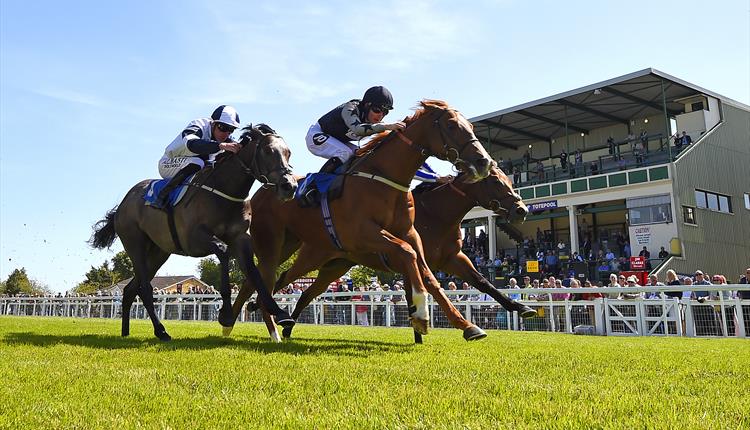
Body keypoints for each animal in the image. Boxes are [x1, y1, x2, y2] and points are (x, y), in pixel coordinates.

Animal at [89, 124, 296, 340]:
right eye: (268, 151)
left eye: (288, 152)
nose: (289, 186)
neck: (224, 190)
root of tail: (124, 203)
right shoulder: (194, 240)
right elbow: (223, 252)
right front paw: (225, 314)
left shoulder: (241, 238)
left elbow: (254, 273)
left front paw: (280, 313)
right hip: (134, 243)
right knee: (144, 288)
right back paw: (161, 330)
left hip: (158, 252)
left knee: (131, 289)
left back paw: (126, 332)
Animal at [229, 99, 500, 340]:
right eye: (452, 126)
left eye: (471, 126)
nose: (484, 162)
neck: (383, 178)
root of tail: (263, 190)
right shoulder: (363, 233)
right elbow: (407, 252)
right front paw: (421, 314)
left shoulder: (410, 232)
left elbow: (427, 274)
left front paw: (466, 325)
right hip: (274, 242)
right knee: (263, 277)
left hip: (297, 247)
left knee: (269, 279)